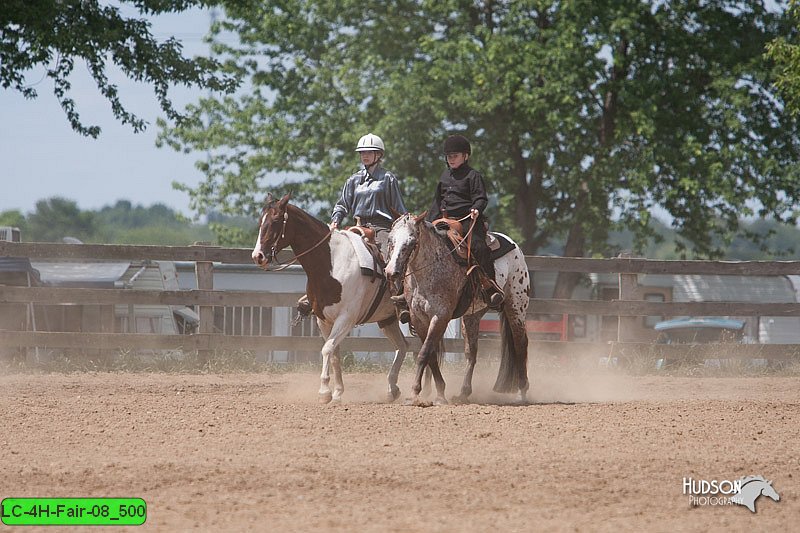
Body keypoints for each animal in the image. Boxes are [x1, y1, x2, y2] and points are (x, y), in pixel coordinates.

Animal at [252, 193, 412, 402]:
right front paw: (337, 392)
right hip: (388, 319)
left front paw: (324, 391)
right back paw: (392, 389)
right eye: (260, 221)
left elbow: (327, 349)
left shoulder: (346, 319)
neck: (332, 264)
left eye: (276, 220)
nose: (258, 256)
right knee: (403, 346)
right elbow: (334, 353)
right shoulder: (323, 319)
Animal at [386, 212, 532, 404]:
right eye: (390, 239)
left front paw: (415, 393)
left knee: (520, 344)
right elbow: (431, 354)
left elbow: (424, 353)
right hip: (472, 316)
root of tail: (514, 246)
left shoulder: (440, 316)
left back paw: (522, 393)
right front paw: (440, 393)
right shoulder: (419, 319)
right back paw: (463, 392)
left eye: (411, 242)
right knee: (471, 352)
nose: (391, 272)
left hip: (516, 305)